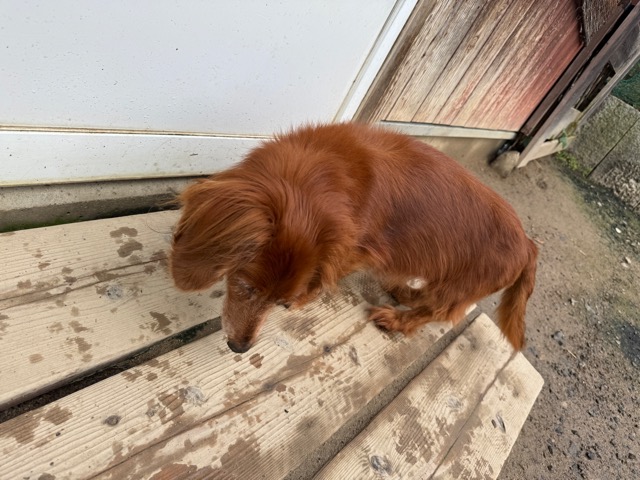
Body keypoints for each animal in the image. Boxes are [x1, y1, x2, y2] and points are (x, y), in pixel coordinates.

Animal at [170, 123, 537, 354]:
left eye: (279, 301)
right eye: (246, 287)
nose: (239, 347)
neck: (328, 167)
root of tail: (528, 244)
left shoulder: (354, 249)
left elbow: (325, 277)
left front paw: (303, 298)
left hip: (457, 288)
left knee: (438, 311)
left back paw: (397, 318)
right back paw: (403, 291)